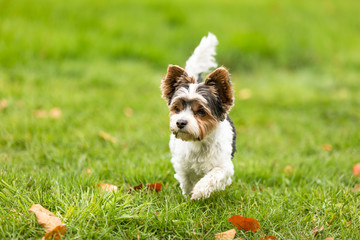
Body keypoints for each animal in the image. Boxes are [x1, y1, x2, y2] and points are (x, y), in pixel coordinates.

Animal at [161, 32, 236, 201]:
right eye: (177, 109)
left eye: (201, 112)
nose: (180, 122)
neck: (199, 142)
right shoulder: (182, 164)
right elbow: (186, 180)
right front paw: (188, 196)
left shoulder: (225, 166)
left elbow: (214, 175)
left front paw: (200, 191)